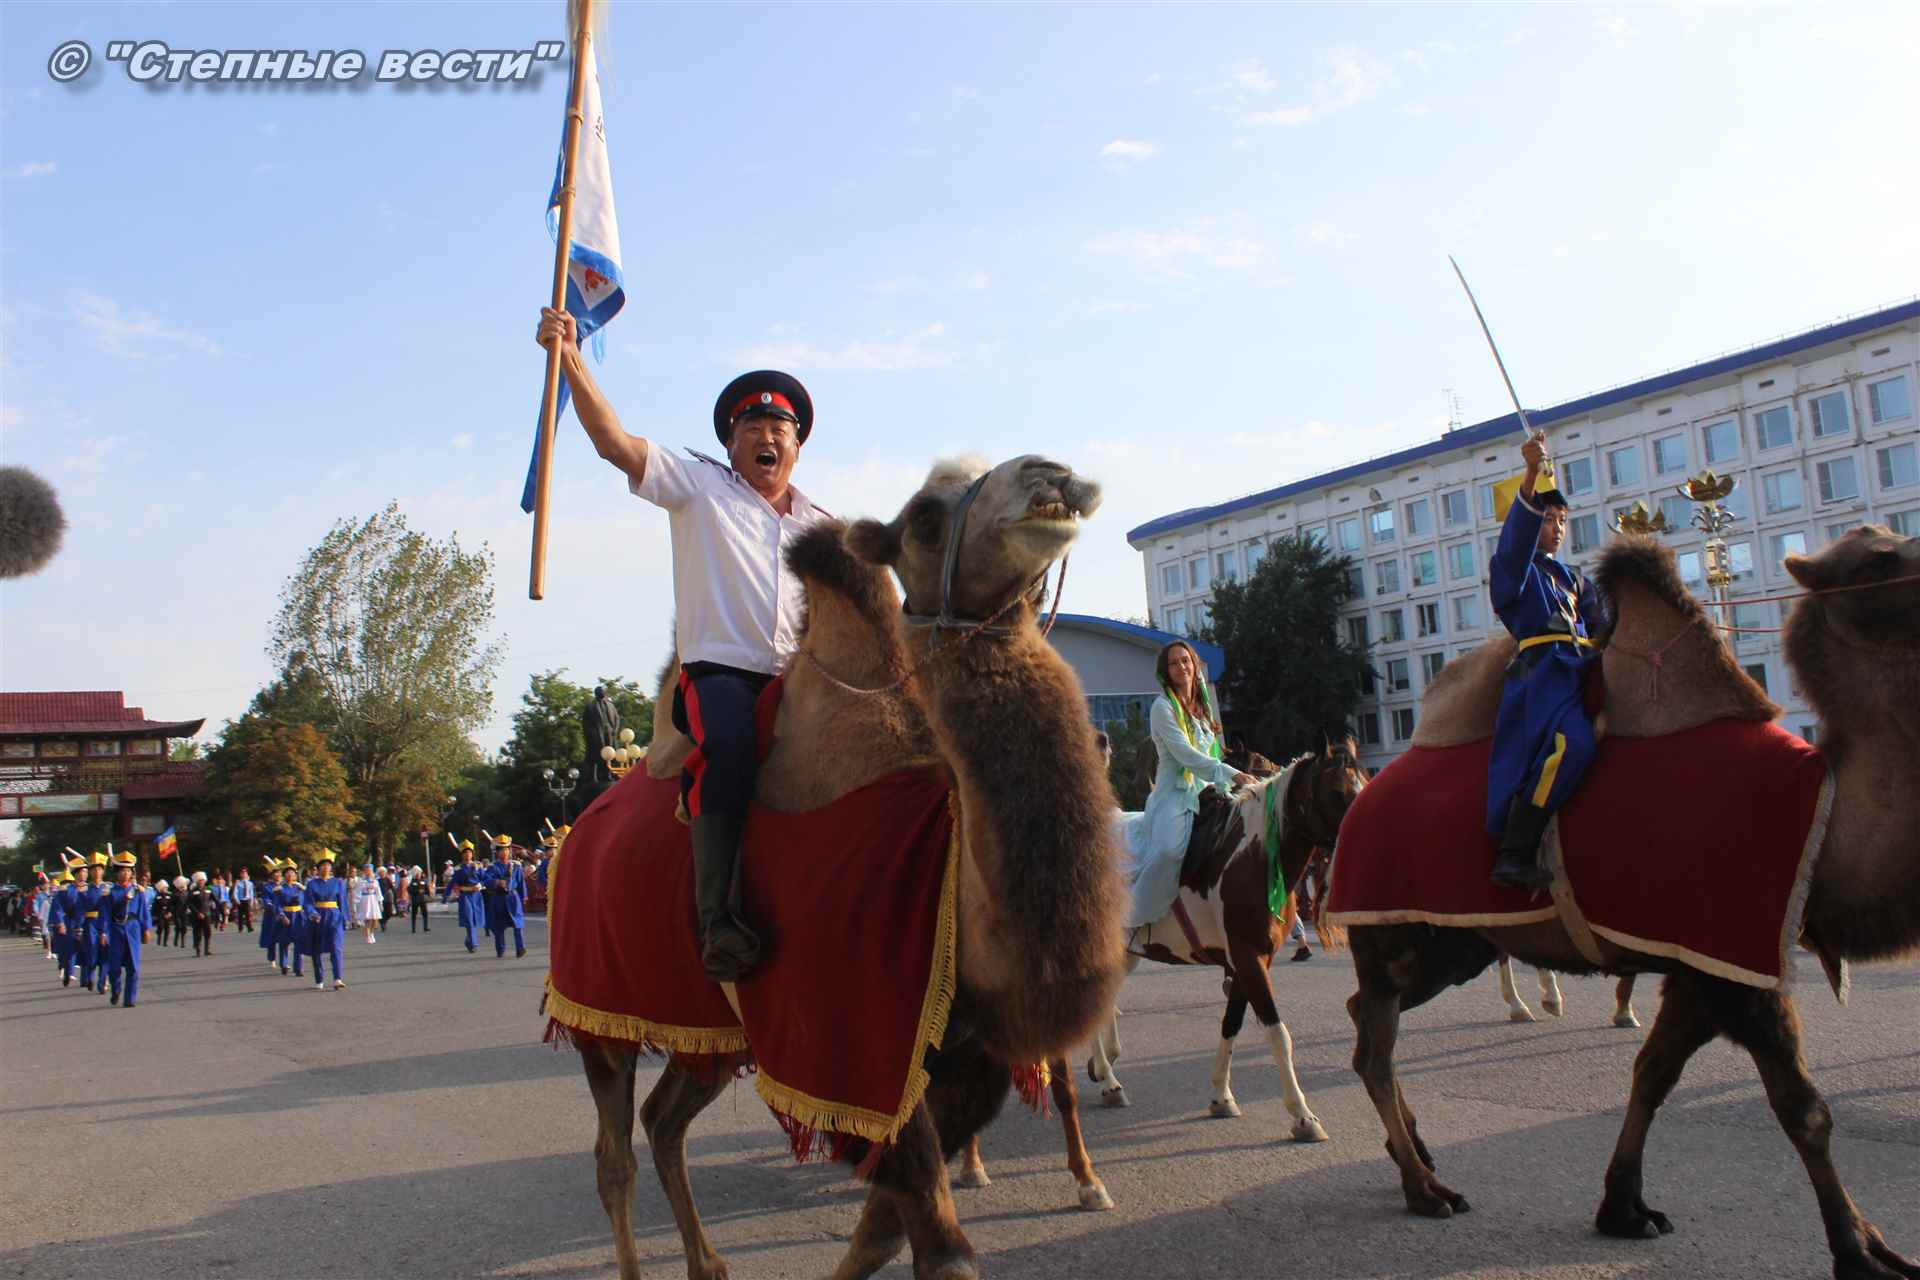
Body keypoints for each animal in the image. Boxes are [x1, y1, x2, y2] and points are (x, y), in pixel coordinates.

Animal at [568, 454, 1126, 1280]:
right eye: (924, 518)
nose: (1050, 475)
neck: (950, 876)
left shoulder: (960, 1062)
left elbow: (881, 1231)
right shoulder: (847, 1053)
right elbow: (940, 1248)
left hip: (708, 1029)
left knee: (663, 1121)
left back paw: (709, 1263)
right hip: (594, 1005)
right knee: (613, 1154)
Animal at [1343, 526, 1919, 1280]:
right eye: (1880, 559)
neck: (1822, 810)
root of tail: (1355, 805)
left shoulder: (1700, 964)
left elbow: (1653, 1074)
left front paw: (1624, 1208)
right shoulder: (1739, 957)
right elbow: (1806, 1110)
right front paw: (1861, 1250)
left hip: (1453, 945)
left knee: (1365, 1016)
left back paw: (1414, 1151)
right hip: (1394, 931)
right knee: (1375, 1050)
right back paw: (1425, 1188)